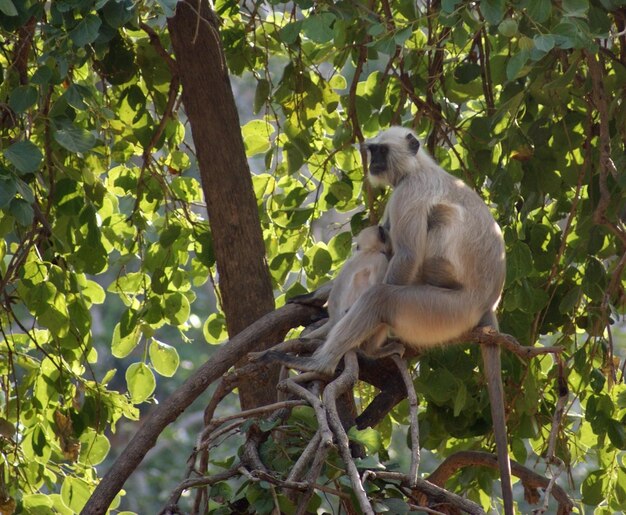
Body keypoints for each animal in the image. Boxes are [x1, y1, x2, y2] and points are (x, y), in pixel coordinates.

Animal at [251, 127, 510, 512]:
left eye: (381, 152)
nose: (372, 162)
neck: (419, 167)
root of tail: (488, 303)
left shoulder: (408, 193)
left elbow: (401, 257)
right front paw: (314, 299)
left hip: (443, 311)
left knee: (384, 293)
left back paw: (324, 361)